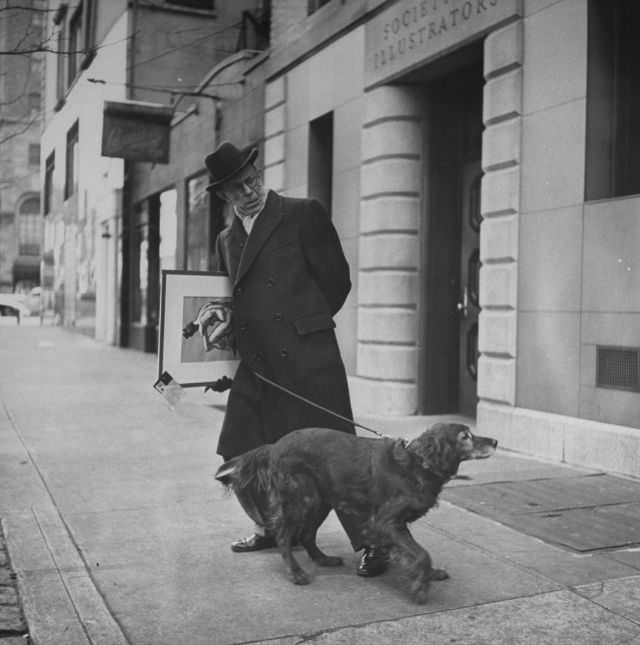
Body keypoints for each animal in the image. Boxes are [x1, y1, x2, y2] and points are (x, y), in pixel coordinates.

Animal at [218, 426, 498, 600]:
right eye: (465, 436)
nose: (495, 441)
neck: (416, 464)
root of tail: (275, 445)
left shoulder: (397, 524)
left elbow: (416, 551)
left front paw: (429, 575)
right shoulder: (385, 522)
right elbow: (421, 553)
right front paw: (421, 588)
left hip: (321, 500)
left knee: (307, 535)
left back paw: (324, 559)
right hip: (301, 499)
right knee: (284, 537)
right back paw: (297, 574)